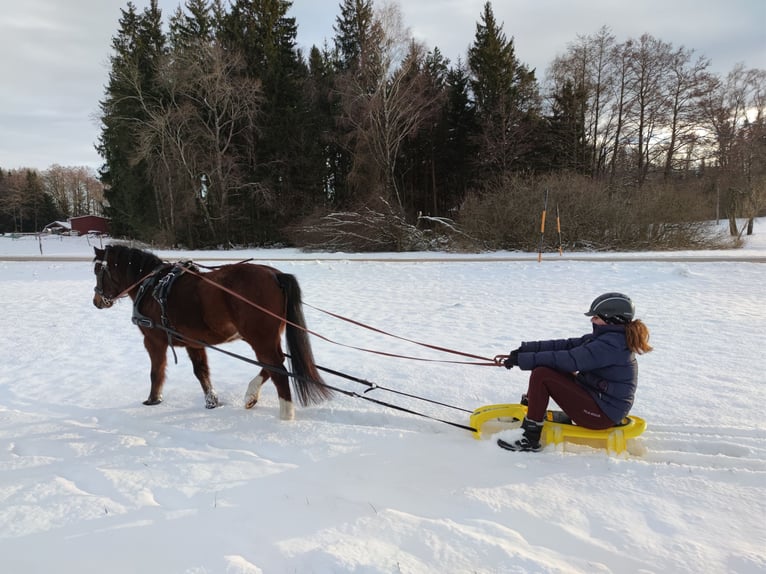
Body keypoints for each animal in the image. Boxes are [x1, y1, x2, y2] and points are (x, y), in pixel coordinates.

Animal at [91, 244, 333, 420]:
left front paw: (153, 400)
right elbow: (202, 372)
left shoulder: (153, 340)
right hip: (265, 338)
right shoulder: (194, 342)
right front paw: (212, 402)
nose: (96, 301)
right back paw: (251, 395)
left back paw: (286, 415)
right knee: (274, 364)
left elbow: (156, 371)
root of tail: (275, 276)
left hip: (260, 339)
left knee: (278, 370)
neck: (152, 286)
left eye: (97, 271)